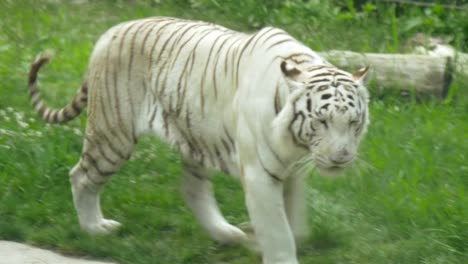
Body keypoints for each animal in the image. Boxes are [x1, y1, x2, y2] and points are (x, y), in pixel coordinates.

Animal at [28, 17, 370, 264]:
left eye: (353, 123)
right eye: (322, 121)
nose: (341, 158)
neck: (296, 144)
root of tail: (109, 33)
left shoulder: (293, 170)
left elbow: (294, 224)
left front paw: (258, 238)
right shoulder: (260, 175)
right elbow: (279, 232)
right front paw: (273, 249)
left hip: (196, 137)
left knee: (192, 189)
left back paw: (227, 234)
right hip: (113, 134)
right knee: (81, 176)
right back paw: (94, 228)